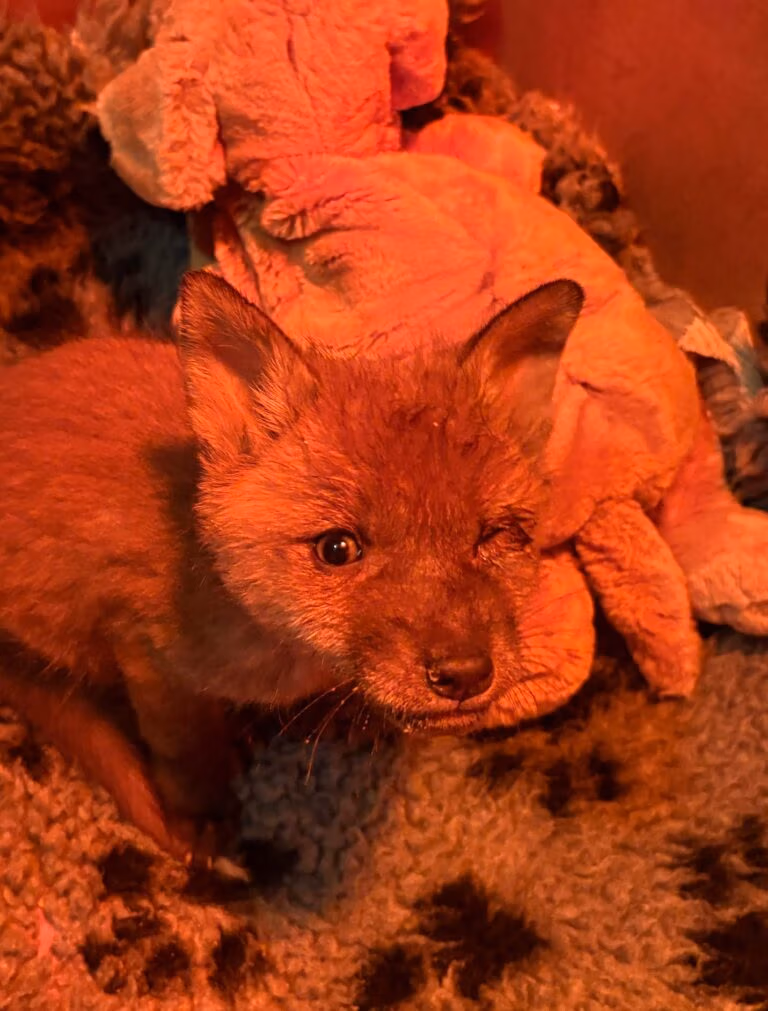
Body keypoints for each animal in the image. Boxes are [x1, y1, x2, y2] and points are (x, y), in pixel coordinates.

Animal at [0, 271, 585, 861]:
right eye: (338, 548)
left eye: (495, 537)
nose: (465, 675)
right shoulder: (145, 651)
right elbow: (186, 748)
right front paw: (200, 810)